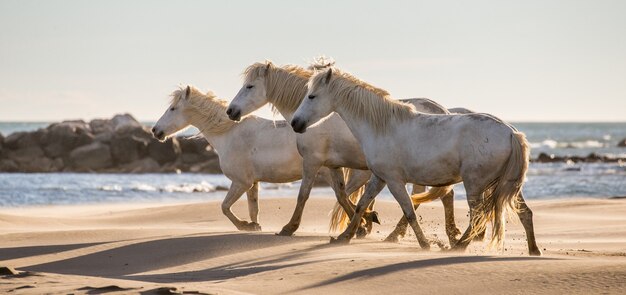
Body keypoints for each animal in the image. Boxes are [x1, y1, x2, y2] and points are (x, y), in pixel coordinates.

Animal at [153, 86, 326, 234]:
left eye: (173, 108)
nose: (155, 130)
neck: (228, 133)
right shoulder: (253, 183)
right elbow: (253, 210)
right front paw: (255, 226)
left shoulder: (242, 182)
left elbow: (225, 206)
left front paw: (244, 225)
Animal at [227, 60, 460, 245]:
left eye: (249, 86)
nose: (231, 111)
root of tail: (441, 110)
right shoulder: (333, 165)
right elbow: (342, 195)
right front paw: (364, 222)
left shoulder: (312, 162)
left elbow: (304, 195)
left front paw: (289, 228)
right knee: (438, 196)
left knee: (432, 197)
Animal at [292, 67, 540, 256]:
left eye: (312, 96)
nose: (296, 123)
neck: (381, 126)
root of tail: (511, 132)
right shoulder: (380, 178)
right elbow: (362, 205)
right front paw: (345, 236)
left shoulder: (394, 180)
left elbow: (409, 210)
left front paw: (424, 244)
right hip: (507, 185)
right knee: (524, 213)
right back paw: (533, 250)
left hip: (475, 185)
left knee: (478, 217)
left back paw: (457, 246)